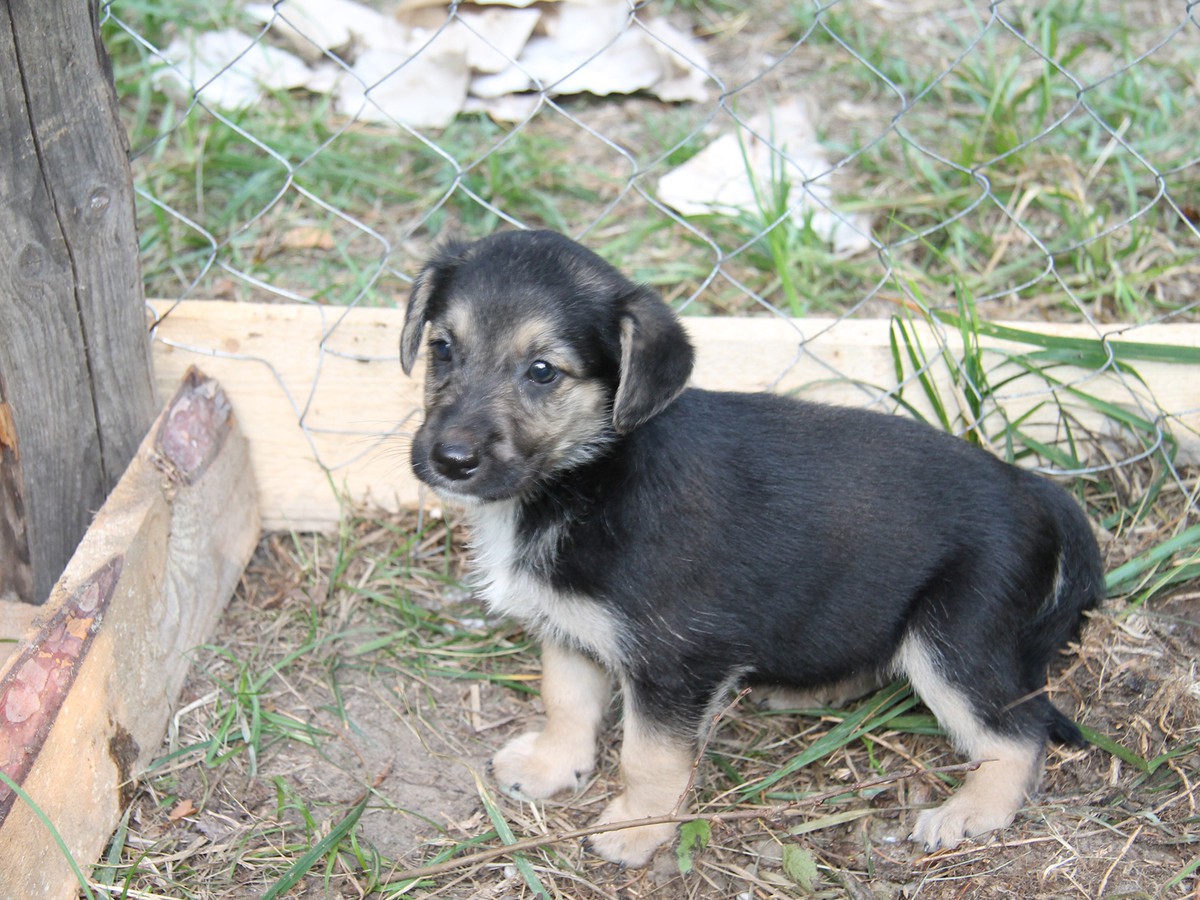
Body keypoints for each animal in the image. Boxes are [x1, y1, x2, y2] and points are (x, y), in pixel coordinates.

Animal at [403, 229, 1104, 868]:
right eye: (442, 349)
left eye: (542, 371)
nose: (450, 460)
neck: (590, 472)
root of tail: (1034, 487)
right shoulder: (569, 624)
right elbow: (566, 698)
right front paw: (553, 766)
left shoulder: (675, 662)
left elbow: (647, 756)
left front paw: (636, 829)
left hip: (956, 640)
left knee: (1018, 734)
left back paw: (969, 812)